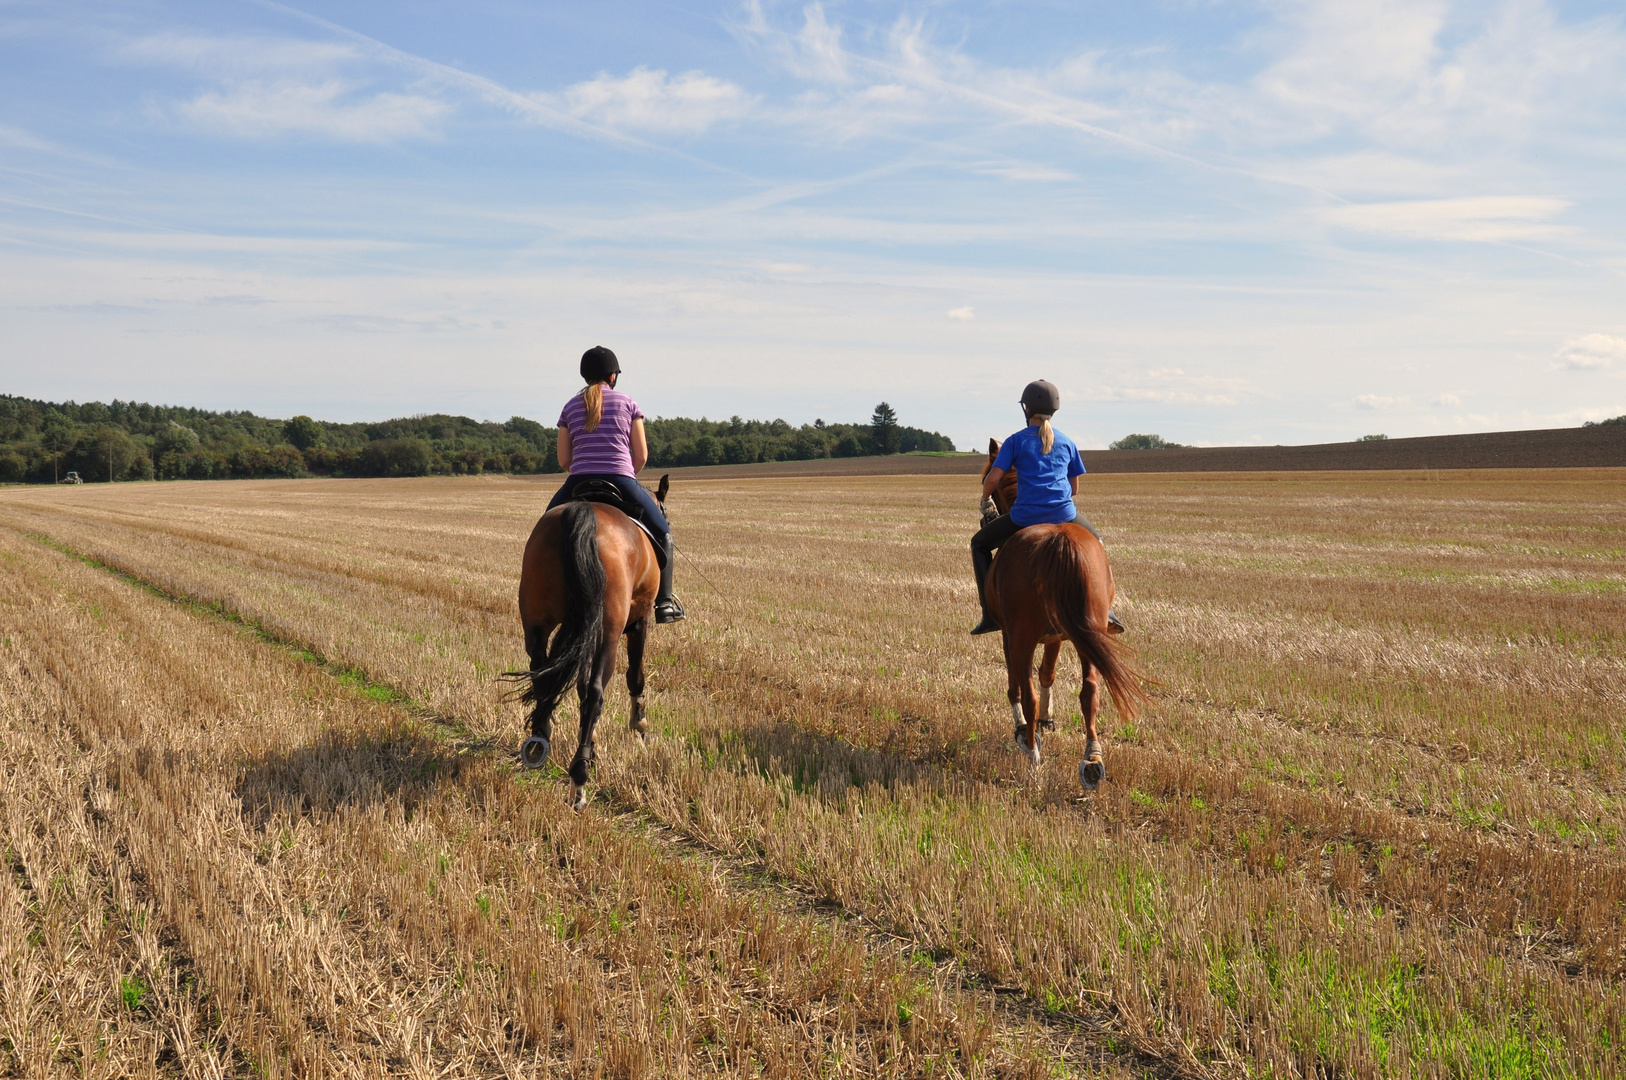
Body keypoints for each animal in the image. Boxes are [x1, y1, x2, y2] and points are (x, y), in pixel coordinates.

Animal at [507, 478, 660, 806]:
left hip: (537, 624)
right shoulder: (640, 620)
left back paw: (539, 741)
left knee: (543, 676)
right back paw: (579, 779)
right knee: (595, 693)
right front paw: (639, 729)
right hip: (608, 632)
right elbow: (636, 677)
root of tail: (581, 512)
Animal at [975, 435, 1144, 783]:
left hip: (1023, 636)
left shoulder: (1010, 635)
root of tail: (1057, 541)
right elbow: (1048, 672)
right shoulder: (1057, 637)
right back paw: (1092, 760)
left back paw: (1031, 750)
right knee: (1090, 690)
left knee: (1026, 692)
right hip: (1088, 632)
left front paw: (1025, 728)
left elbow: (1016, 685)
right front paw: (1048, 720)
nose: (986, 514)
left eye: (985, 478)